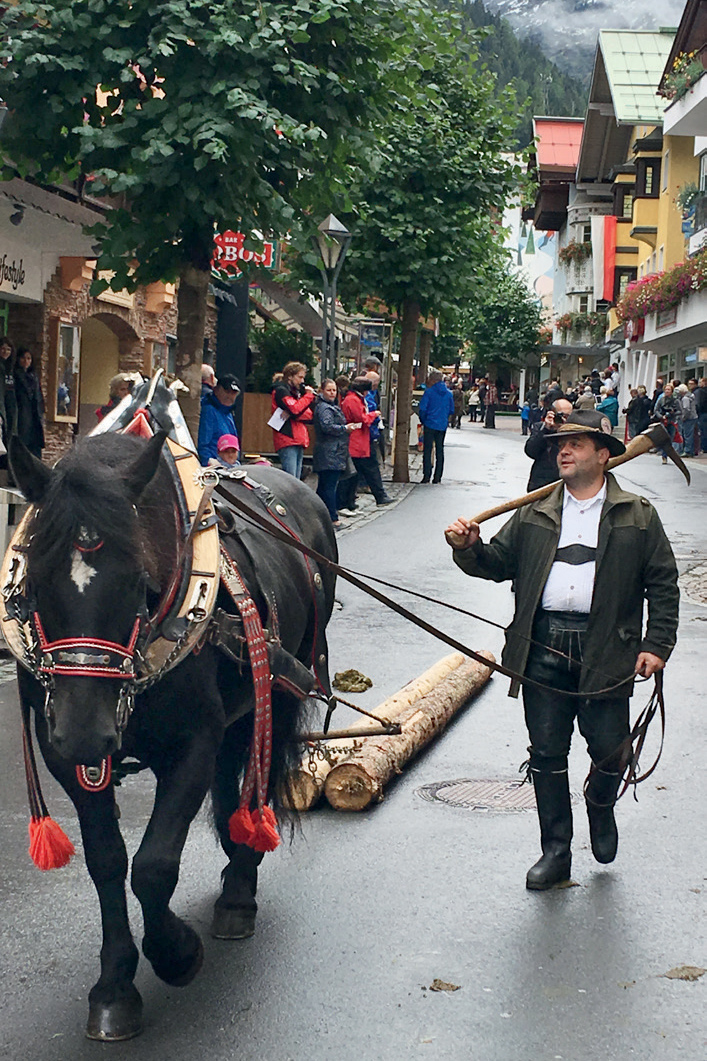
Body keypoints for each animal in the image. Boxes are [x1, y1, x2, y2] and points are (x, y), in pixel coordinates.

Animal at [8, 432, 335, 1044]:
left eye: (140, 580)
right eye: (33, 582)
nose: (84, 732)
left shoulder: (191, 746)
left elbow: (154, 865)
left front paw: (177, 953)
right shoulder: (65, 756)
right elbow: (108, 861)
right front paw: (115, 986)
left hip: (281, 687)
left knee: (255, 783)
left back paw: (238, 890)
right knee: (233, 785)